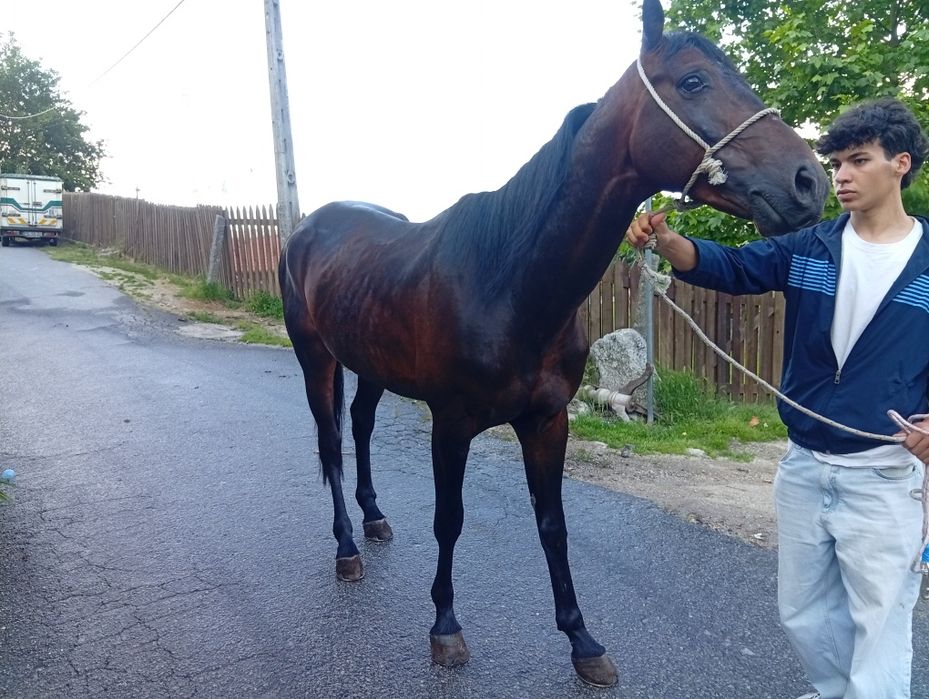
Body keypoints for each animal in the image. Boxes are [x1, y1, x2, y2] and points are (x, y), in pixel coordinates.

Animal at [279, 0, 829, 686]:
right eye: (694, 81)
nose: (809, 181)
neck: (510, 284)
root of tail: (309, 228)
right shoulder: (451, 423)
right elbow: (449, 520)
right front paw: (445, 628)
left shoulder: (547, 421)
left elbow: (553, 525)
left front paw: (582, 639)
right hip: (316, 358)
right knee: (330, 442)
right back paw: (348, 548)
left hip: (370, 364)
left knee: (359, 426)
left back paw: (375, 519)